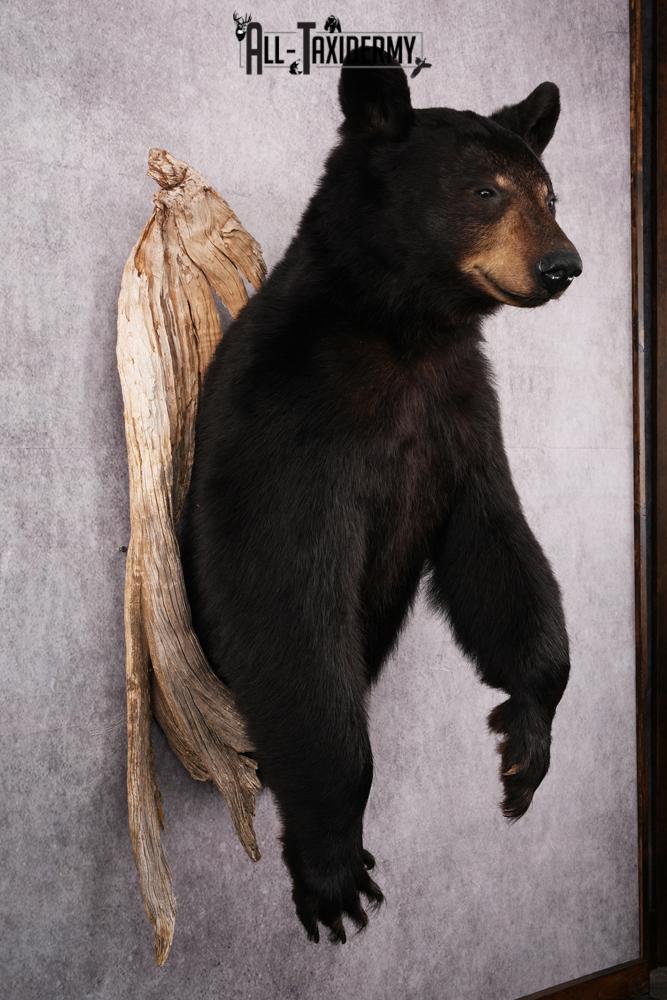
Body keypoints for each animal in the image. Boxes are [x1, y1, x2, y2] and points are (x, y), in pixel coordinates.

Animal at [179, 44, 581, 945]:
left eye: (549, 194)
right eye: (484, 191)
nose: (562, 266)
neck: (406, 333)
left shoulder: (461, 418)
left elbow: (497, 549)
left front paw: (526, 736)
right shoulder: (297, 423)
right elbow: (285, 598)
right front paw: (331, 865)